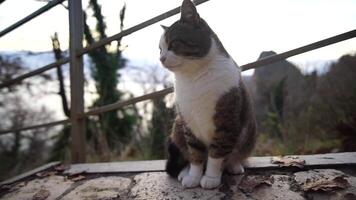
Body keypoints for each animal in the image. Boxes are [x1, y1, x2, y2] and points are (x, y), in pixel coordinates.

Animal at [159, 0, 256, 189]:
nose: (161, 58)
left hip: (249, 132)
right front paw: (193, 177)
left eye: (173, 43)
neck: (193, 78)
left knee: (235, 154)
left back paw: (234, 165)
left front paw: (211, 178)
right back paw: (185, 172)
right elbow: (195, 154)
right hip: (177, 125)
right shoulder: (189, 124)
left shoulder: (226, 122)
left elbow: (216, 154)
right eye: (160, 49)